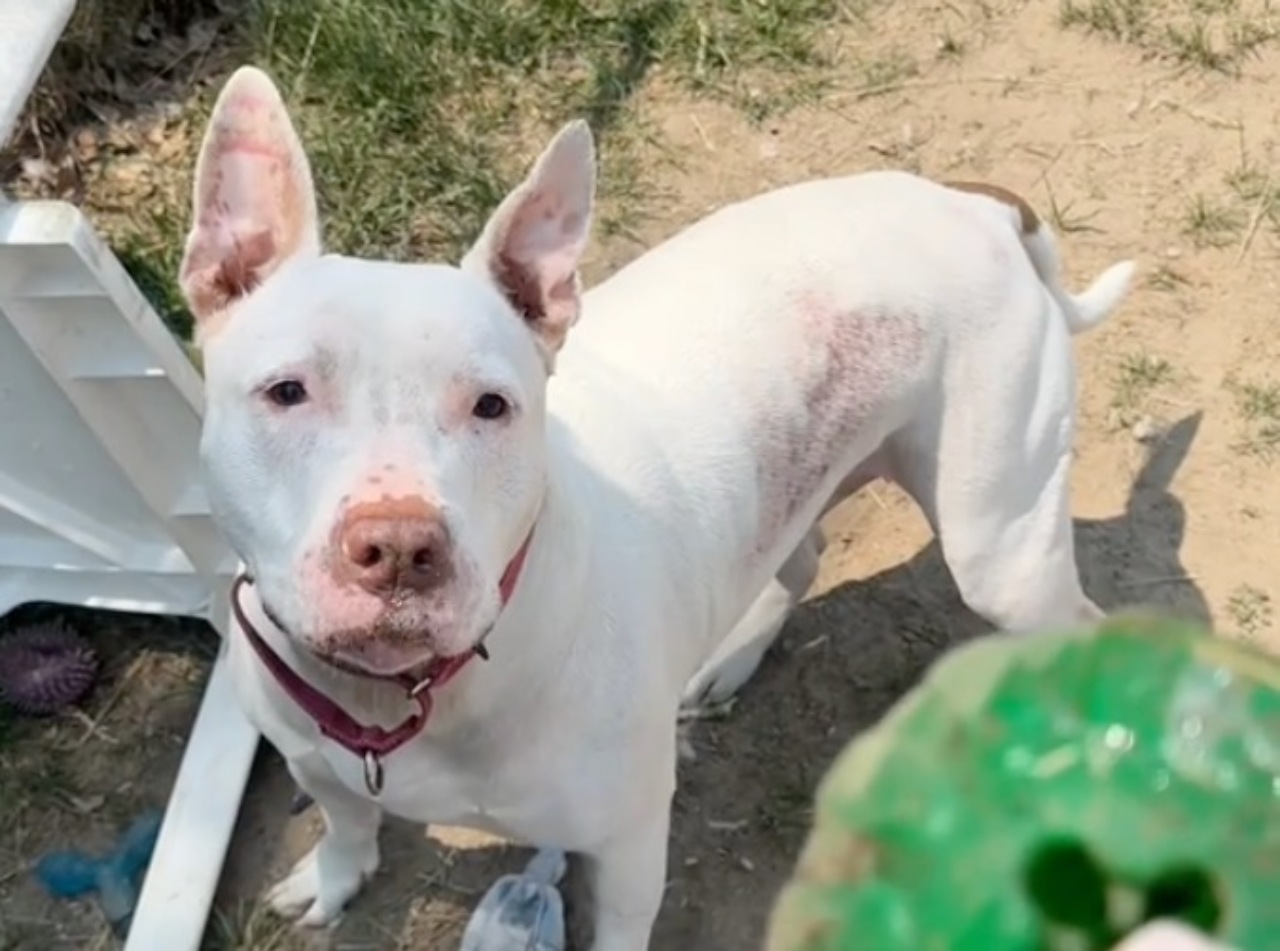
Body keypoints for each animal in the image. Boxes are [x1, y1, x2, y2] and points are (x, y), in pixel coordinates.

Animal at [180, 68, 1131, 951]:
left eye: (492, 406)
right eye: (287, 391)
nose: (401, 547)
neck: (404, 701)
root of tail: (975, 206)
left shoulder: (631, 843)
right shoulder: (312, 754)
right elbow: (345, 817)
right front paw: (335, 877)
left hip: (999, 547)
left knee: (1072, 619)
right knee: (801, 554)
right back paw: (731, 657)